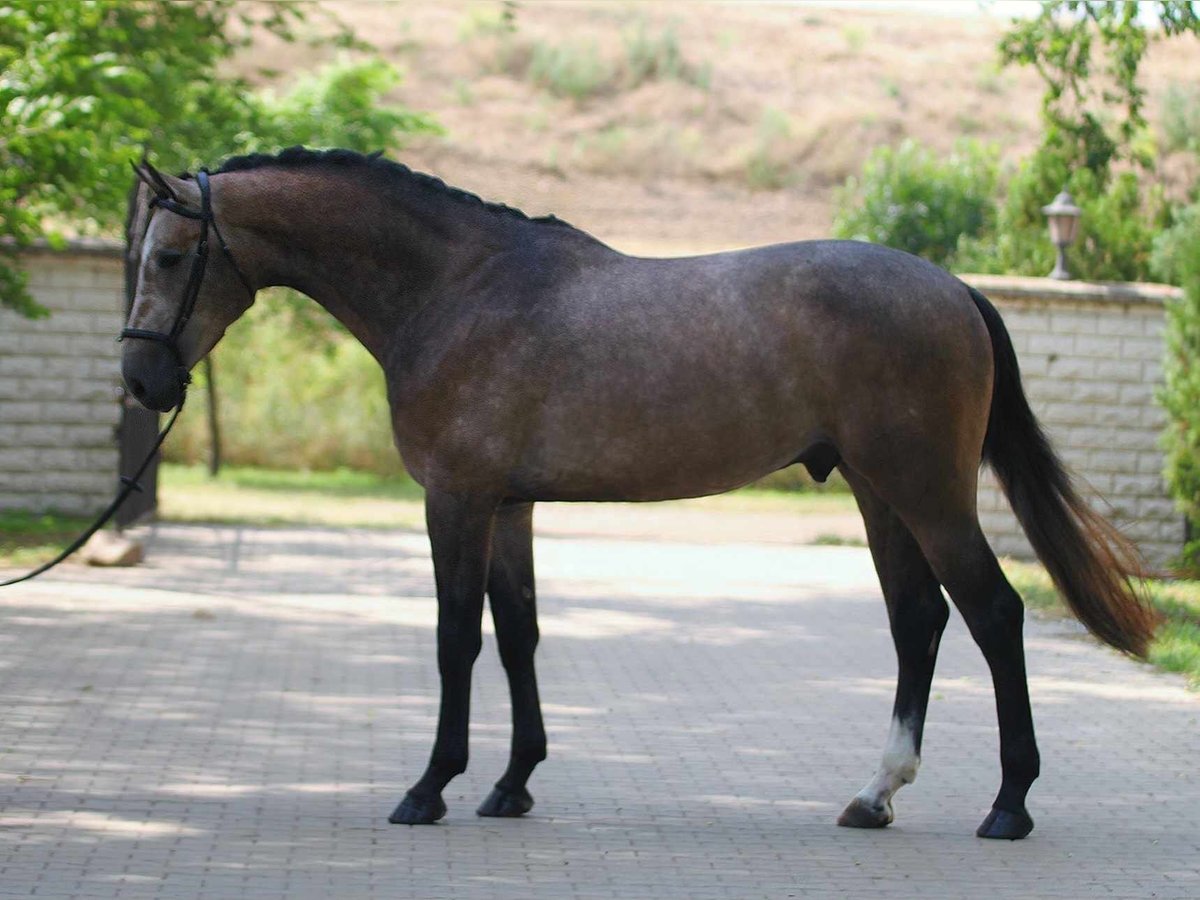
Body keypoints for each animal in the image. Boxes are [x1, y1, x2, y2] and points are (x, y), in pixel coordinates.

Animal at [121, 144, 1152, 844]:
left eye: (168, 258)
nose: (142, 382)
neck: (457, 290)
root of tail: (957, 290)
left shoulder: (456, 499)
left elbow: (458, 639)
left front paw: (430, 787)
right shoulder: (509, 506)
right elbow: (519, 632)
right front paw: (512, 784)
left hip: (925, 493)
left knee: (994, 615)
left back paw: (1009, 804)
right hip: (878, 492)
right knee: (919, 622)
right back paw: (875, 794)